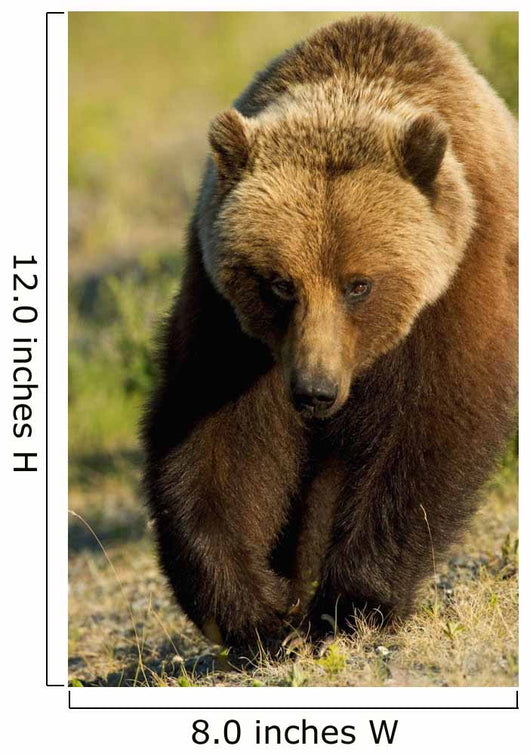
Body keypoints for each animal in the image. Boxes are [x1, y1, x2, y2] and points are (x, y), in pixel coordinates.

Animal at [142, 15, 517, 647]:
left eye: (358, 284)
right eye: (279, 283)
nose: (315, 391)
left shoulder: (457, 285)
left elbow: (426, 432)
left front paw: (352, 603)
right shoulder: (231, 324)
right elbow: (214, 442)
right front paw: (257, 612)